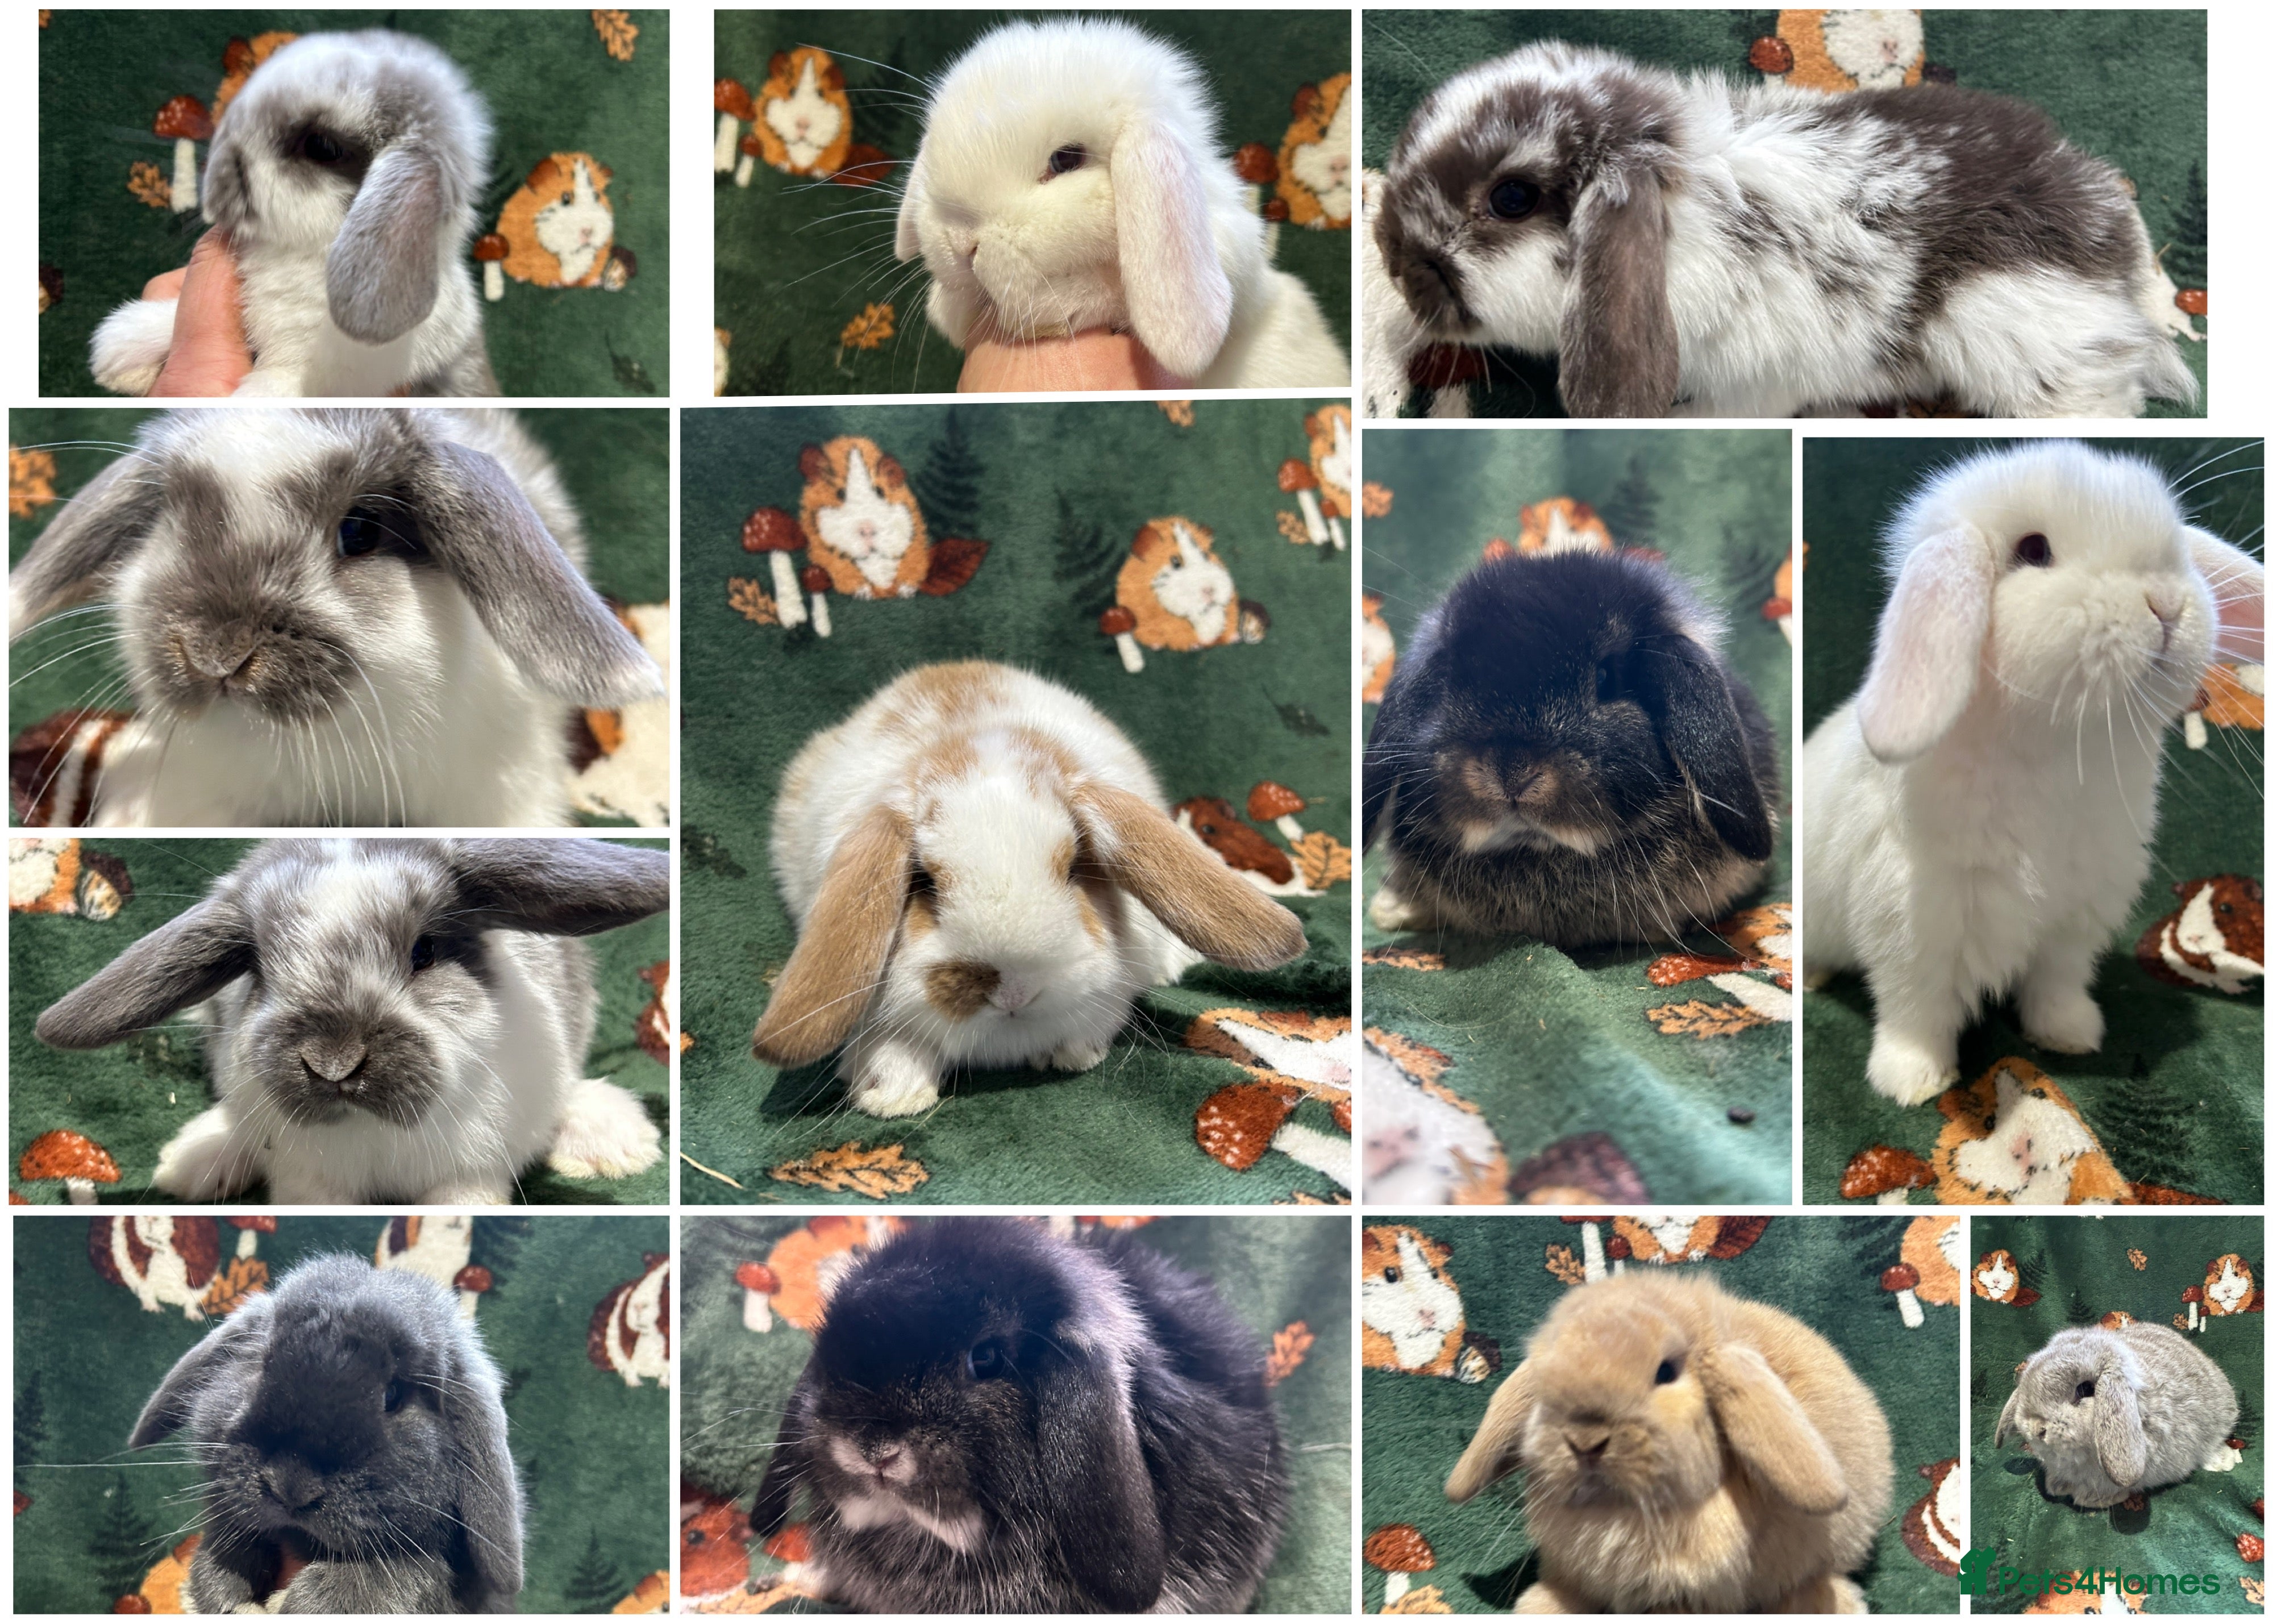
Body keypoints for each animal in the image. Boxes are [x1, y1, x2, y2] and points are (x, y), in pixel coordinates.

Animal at [32, 838, 669, 1205]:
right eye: (257, 968)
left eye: (425, 952)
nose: (333, 1063)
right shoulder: (308, 1181)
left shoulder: (472, 1171)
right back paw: (193, 1162)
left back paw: (615, 1144)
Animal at [129, 1254, 522, 1613]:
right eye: (262, 1364)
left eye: (393, 1396)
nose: (291, 1487)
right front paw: (228, 1597)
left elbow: (397, 1576)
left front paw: (303, 1603)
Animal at [752, 662, 1306, 1118]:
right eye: (924, 882)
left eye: (1074, 866)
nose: (1013, 990)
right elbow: (892, 1051)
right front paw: (892, 1098)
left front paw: (1072, 1055)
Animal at [892, 18, 1349, 390]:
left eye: (1066, 159)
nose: (960, 244)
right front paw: (949, 305)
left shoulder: (1236, 269)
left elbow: (1115, 293)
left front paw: (1047, 307)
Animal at [1801, 442, 2264, 1105]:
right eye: (2034, 549)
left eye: (2177, 548)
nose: (2167, 604)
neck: (2061, 747)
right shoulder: (1914, 927)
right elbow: (1915, 1011)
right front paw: (1912, 1082)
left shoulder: (2073, 922)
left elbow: (2058, 986)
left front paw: (2074, 1036)